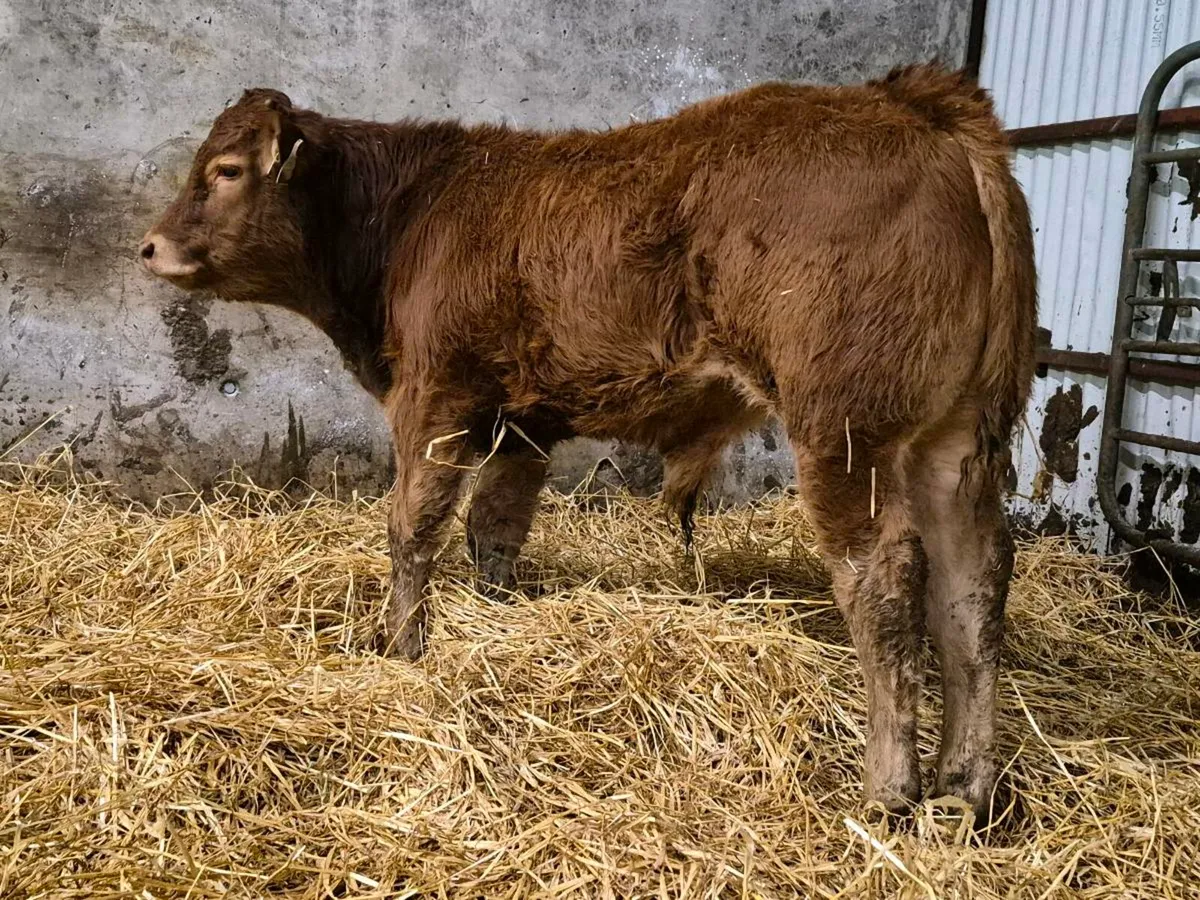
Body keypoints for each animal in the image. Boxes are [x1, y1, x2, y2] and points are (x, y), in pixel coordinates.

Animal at [139, 65, 1037, 822]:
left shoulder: (435, 397)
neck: (415, 210)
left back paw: (888, 789)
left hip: (845, 431)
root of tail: (916, 103)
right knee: (974, 583)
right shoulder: (523, 425)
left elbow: (412, 528)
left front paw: (400, 648)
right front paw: (495, 620)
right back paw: (966, 786)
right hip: (955, 439)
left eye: (227, 170)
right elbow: (495, 531)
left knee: (884, 578)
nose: (150, 246)